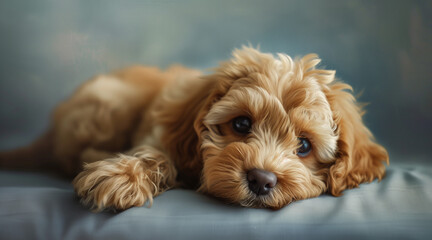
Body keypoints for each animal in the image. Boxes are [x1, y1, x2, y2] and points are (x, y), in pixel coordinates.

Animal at [0, 46, 390, 210]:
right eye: (241, 124)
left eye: (305, 146)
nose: (261, 180)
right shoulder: (161, 133)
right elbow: (155, 155)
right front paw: (122, 177)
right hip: (108, 104)